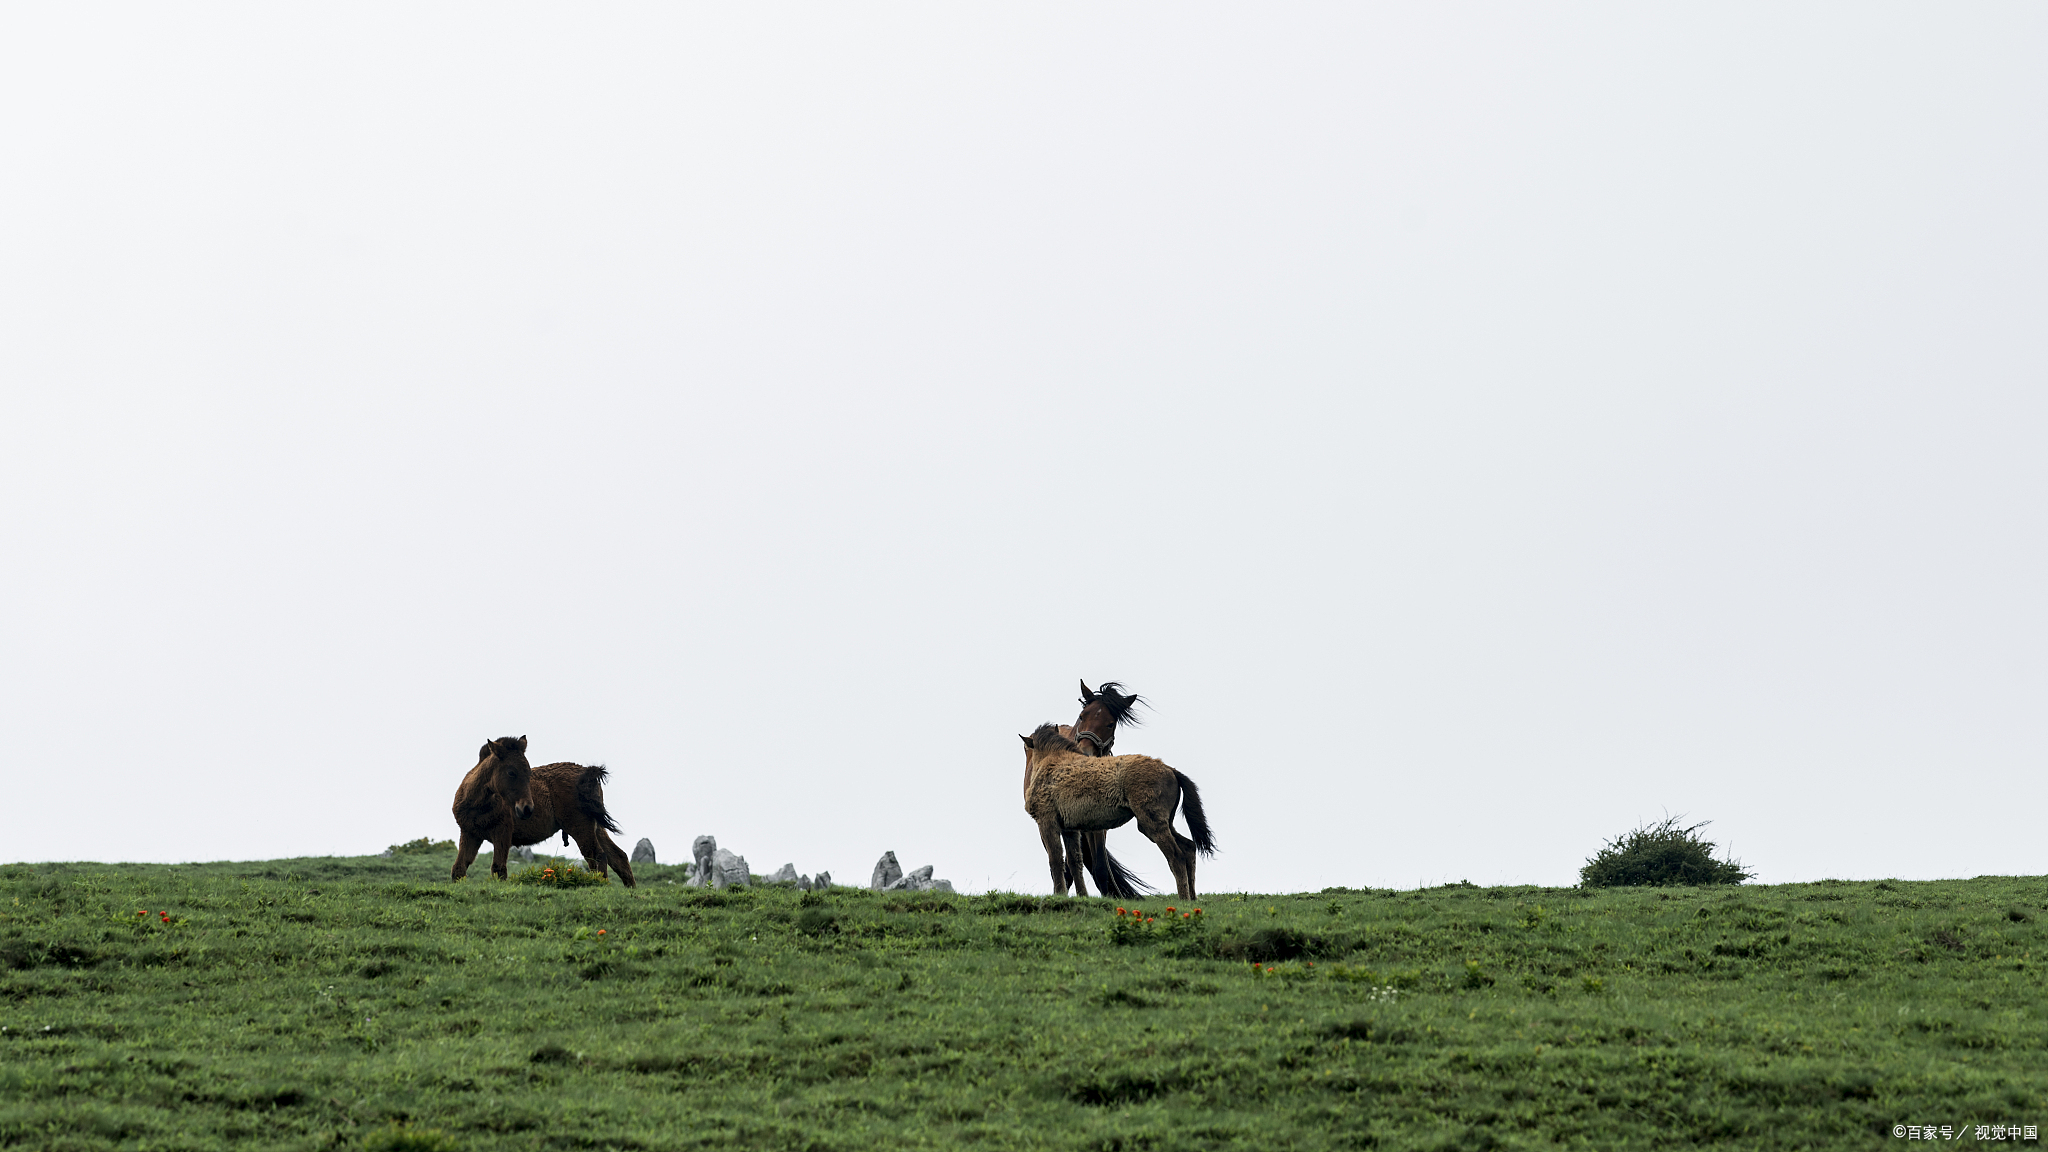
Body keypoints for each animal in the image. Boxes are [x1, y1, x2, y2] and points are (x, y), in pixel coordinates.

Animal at [452, 733, 634, 889]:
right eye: (511, 772)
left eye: (529, 772)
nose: (526, 809)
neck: (478, 804)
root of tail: (588, 774)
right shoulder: (469, 833)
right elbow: (459, 868)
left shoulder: (502, 832)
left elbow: (498, 868)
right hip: (596, 827)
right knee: (618, 856)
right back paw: (630, 889)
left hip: (580, 826)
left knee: (597, 855)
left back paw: (600, 885)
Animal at [1015, 717, 1204, 897]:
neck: (1052, 762)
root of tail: (1171, 769)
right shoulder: (1070, 829)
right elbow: (1075, 862)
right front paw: (1082, 895)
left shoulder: (1047, 822)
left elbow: (1055, 860)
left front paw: (1060, 894)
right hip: (1159, 824)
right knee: (1189, 847)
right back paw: (1192, 897)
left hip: (1152, 824)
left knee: (1177, 857)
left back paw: (1184, 898)